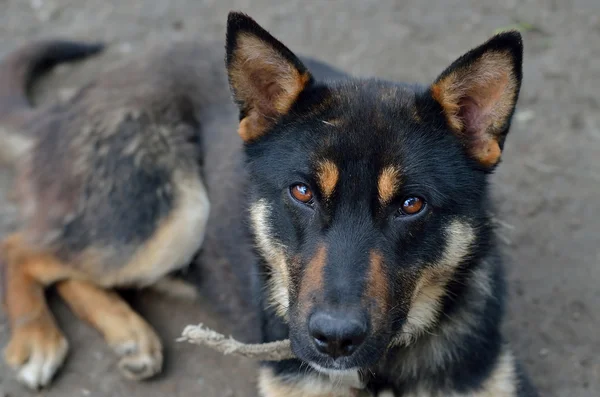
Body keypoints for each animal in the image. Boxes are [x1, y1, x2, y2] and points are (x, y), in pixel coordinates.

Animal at [0, 10, 536, 394]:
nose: (335, 339)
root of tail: (68, 105)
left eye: (411, 204)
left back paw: (127, 333)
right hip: (172, 217)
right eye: (302, 192)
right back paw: (39, 339)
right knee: (22, 246)